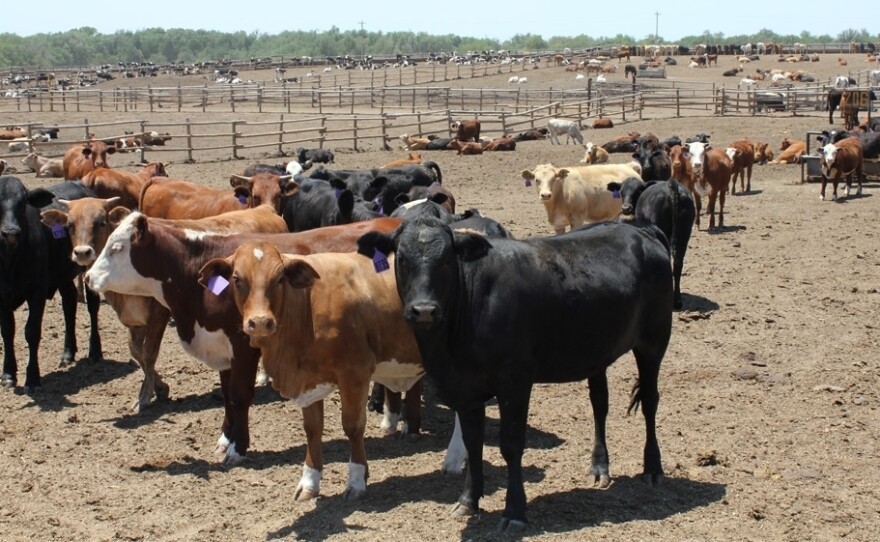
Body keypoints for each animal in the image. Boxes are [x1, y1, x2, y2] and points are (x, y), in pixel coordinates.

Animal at [1, 177, 100, 392]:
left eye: (23, 204)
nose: (10, 232)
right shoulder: (1, 298)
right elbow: (7, 331)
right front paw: (8, 374)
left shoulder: (36, 292)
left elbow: (31, 331)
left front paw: (32, 378)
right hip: (63, 275)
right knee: (69, 304)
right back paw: (68, 352)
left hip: (91, 266)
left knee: (93, 307)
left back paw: (95, 351)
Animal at [83, 216, 405, 463]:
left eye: (116, 247)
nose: (87, 278)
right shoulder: (222, 347)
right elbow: (227, 396)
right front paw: (226, 438)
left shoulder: (243, 345)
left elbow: (239, 396)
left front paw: (238, 447)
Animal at [198, 241, 426, 501]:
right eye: (237, 278)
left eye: (280, 278)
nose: (260, 322)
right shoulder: (307, 382)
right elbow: (313, 429)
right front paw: (309, 483)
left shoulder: (355, 373)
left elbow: (353, 426)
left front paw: (356, 481)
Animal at [356, 216, 672, 531]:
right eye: (402, 258)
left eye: (446, 259)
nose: (424, 310)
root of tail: (639, 228)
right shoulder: (466, 388)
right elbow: (473, 443)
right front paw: (468, 500)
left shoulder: (515, 382)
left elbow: (511, 445)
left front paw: (514, 511)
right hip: (597, 351)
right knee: (600, 403)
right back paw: (599, 466)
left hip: (654, 342)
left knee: (650, 401)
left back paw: (653, 468)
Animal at [606, 177, 695, 309]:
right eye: (621, 192)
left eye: (637, 191)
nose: (626, 208)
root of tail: (671, 185)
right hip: (684, 231)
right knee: (678, 263)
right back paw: (677, 301)